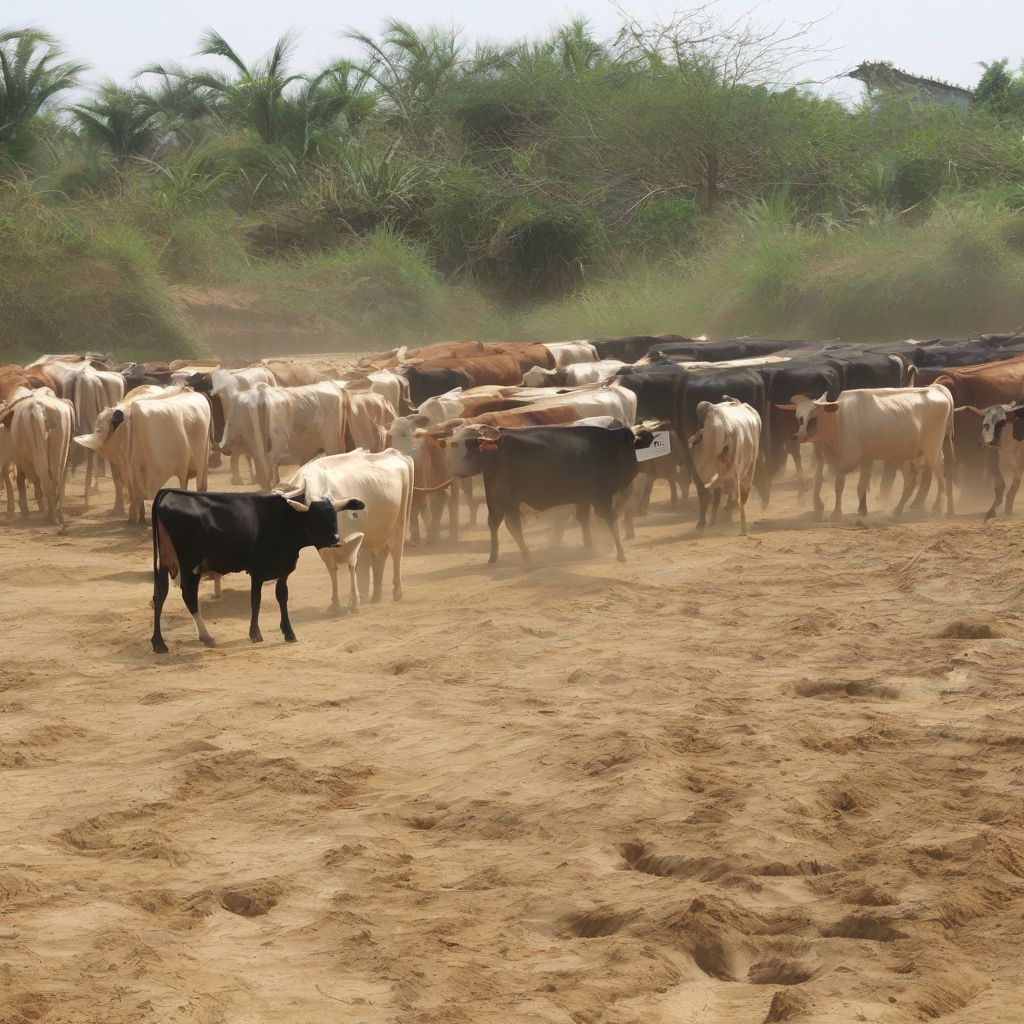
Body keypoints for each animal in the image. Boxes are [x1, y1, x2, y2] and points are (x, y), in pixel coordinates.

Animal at [149, 489, 362, 655]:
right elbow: (255, 600)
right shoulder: (258, 570)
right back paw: (203, 636)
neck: (284, 519)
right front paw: (255, 633)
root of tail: (168, 493)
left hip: (166, 562)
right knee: (188, 595)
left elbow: (282, 596)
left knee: (160, 594)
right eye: (315, 517)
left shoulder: (283, 567)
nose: (335, 539)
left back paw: (159, 642)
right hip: (189, 565)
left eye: (334, 516)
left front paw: (289, 632)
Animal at [278, 452, 413, 610]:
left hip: (400, 522)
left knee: (396, 553)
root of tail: (395, 453)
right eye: (313, 520)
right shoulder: (324, 548)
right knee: (380, 557)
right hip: (379, 534)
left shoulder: (355, 538)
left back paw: (397, 591)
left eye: (334, 516)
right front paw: (335, 603)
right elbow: (332, 568)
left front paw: (354, 602)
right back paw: (376, 596)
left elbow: (352, 565)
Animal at [452, 425, 651, 569]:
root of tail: (498, 440)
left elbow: (584, 519)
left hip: (498, 501)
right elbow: (611, 519)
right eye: (635, 444)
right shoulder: (602, 497)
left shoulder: (583, 498)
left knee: (496, 523)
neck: (609, 448)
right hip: (507, 500)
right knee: (512, 526)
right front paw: (620, 554)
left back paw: (494, 557)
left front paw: (589, 546)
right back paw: (527, 557)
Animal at [778, 385, 954, 520]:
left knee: (940, 473)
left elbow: (861, 486)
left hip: (932, 450)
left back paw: (937, 508)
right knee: (912, 480)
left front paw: (862, 510)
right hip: (911, 456)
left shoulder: (865, 459)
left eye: (813, 417)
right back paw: (900, 509)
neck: (839, 422)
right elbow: (837, 486)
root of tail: (937, 389)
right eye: (798, 416)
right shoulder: (840, 461)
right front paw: (834, 511)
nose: (797, 436)